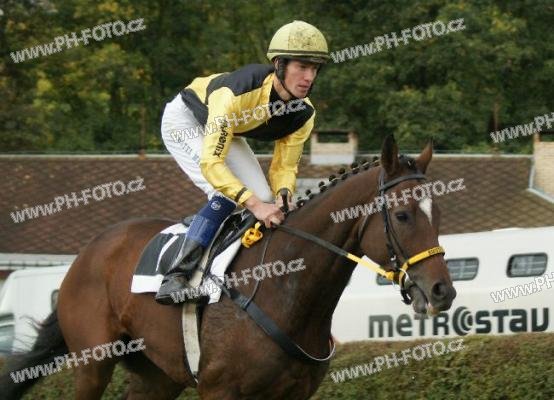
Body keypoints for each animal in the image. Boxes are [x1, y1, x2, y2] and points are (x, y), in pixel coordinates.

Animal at [0, 135, 456, 399]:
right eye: (402, 216)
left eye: (438, 214)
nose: (442, 291)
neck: (284, 291)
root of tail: (87, 253)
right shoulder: (219, 391)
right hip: (93, 364)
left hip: (156, 376)